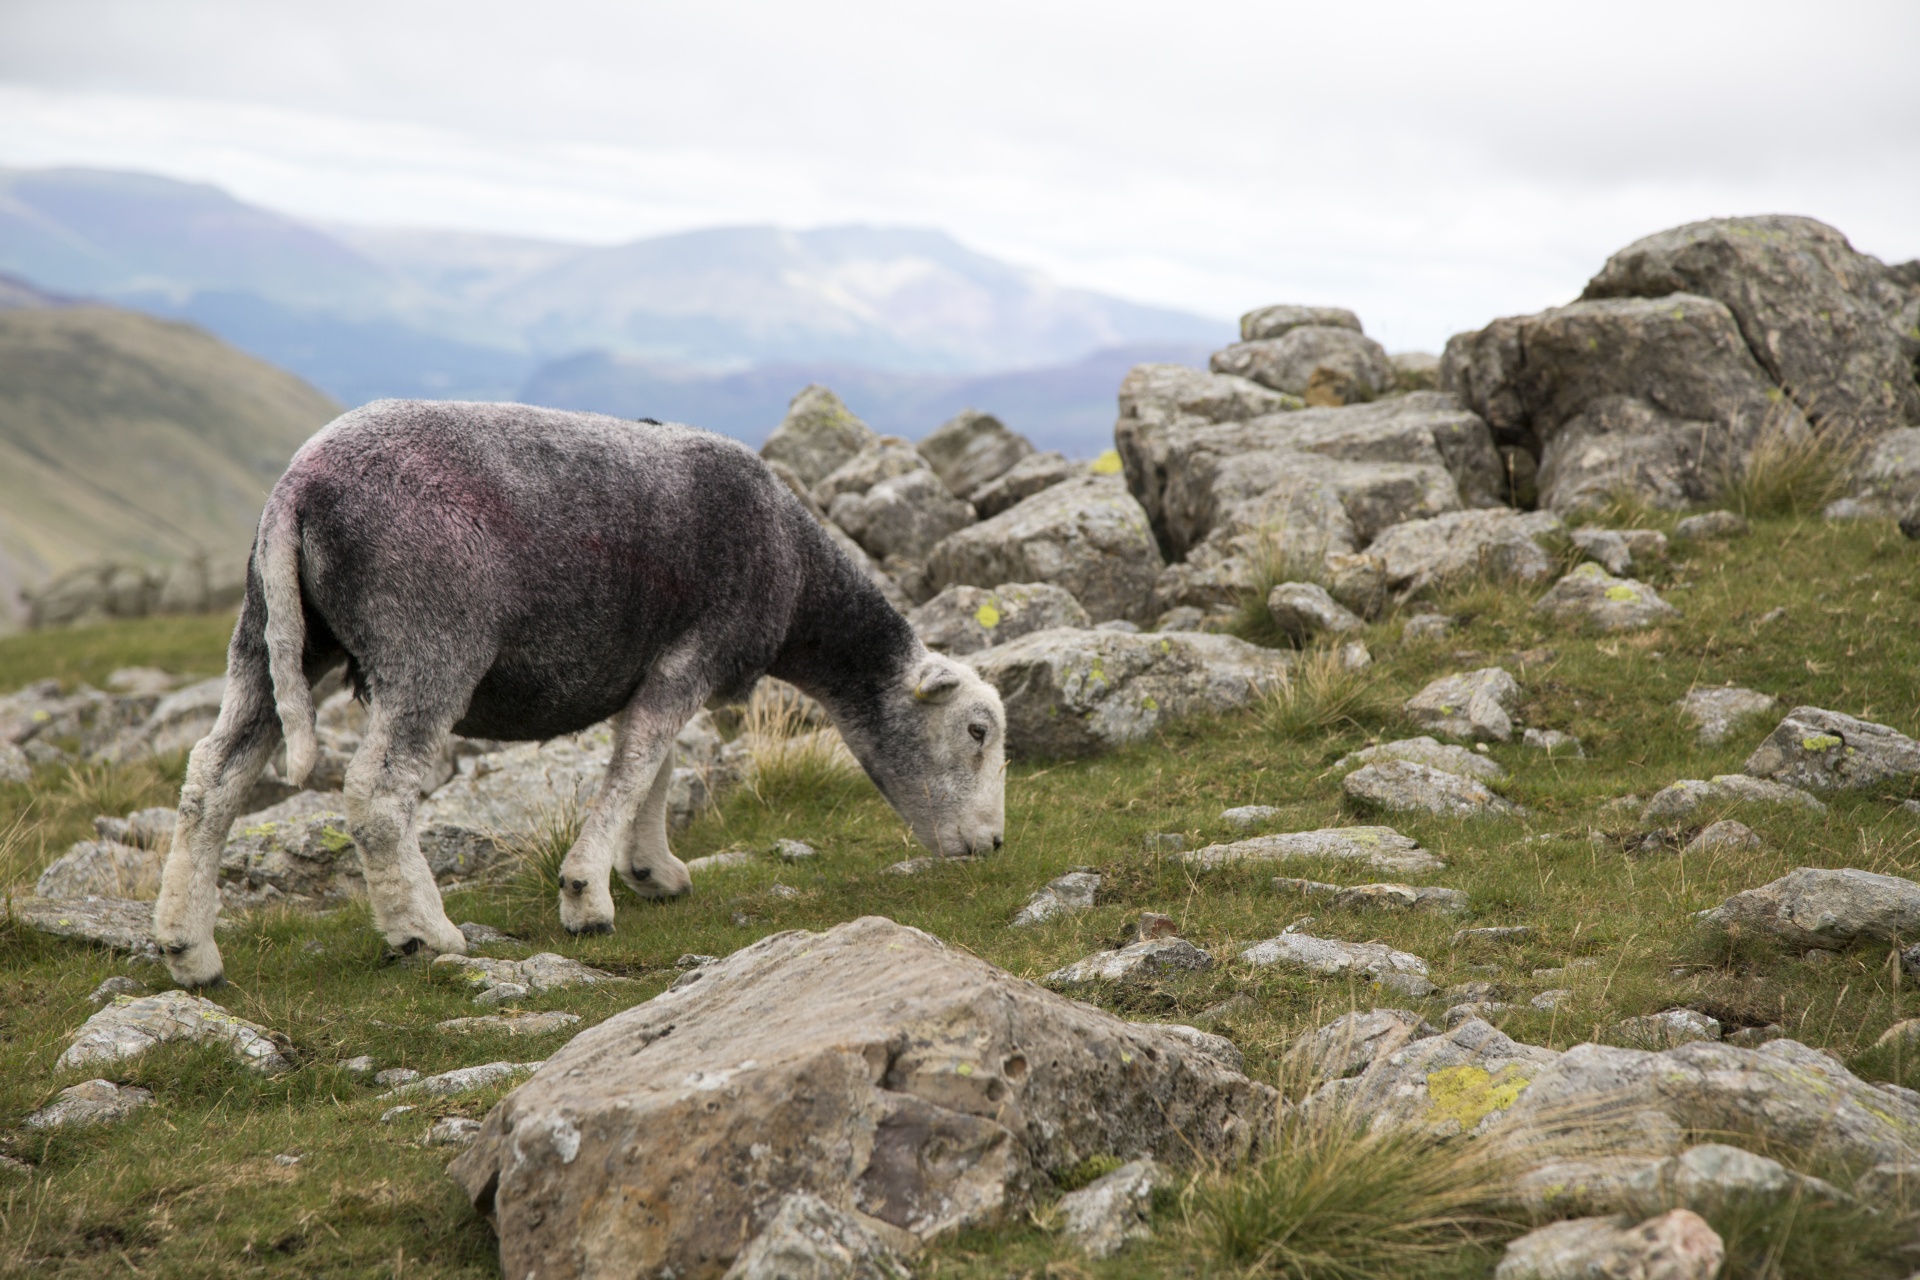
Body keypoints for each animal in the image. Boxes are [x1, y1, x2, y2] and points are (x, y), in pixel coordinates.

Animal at [153, 402, 1006, 990]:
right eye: (976, 732)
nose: (995, 846)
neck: (798, 580)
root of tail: (300, 488)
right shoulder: (695, 652)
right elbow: (634, 767)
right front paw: (587, 896)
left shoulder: (658, 666)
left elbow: (654, 767)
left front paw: (653, 871)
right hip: (429, 642)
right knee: (377, 793)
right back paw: (424, 933)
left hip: (273, 634)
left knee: (212, 777)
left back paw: (189, 948)